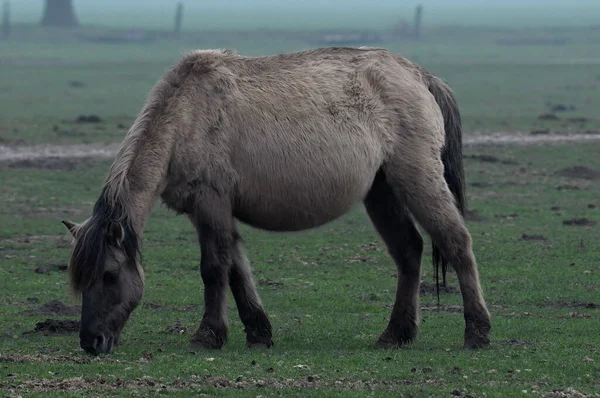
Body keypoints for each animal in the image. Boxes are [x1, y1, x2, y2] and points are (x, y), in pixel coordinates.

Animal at [62, 46, 492, 354]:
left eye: (109, 275)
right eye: (80, 279)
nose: (91, 343)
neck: (185, 115)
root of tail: (418, 74)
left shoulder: (210, 203)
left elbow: (214, 268)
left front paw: (207, 335)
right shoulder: (212, 211)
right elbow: (237, 269)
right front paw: (258, 332)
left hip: (417, 179)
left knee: (457, 243)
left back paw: (477, 332)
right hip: (382, 191)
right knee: (409, 251)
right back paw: (396, 334)